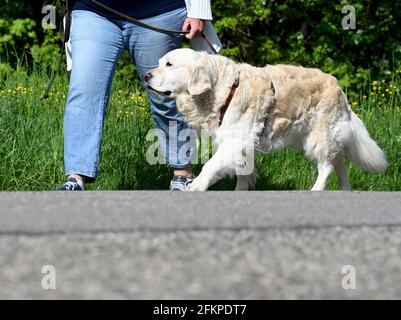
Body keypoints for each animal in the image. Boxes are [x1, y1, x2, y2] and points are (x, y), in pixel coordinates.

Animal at [144, 48, 384, 190]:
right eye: (160, 62)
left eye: (169, 64)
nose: (146, 76)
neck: (220, 89)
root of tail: (339, 87)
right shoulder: (242, 147)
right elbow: (243, 175)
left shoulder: (235, 141)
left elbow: (210, 166)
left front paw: (195, 186)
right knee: (339, 164)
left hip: (318, 138)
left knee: (327, 168)